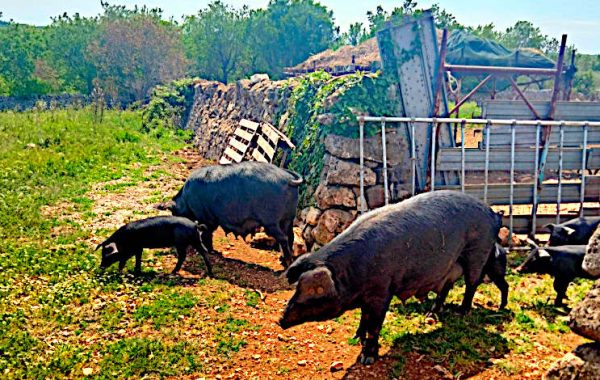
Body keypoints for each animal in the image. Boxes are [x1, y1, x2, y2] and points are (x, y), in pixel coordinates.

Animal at [161, 161, 302, 268]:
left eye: (174, 212)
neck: (186, 199)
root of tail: (289, 179)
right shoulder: (212, 219)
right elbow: (209, 233)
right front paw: (213, 250)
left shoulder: (205, 217)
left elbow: (206, 233)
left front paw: (209, 250)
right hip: (288, 218)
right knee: (290, 236)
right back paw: (283, 260)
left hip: (271, 221)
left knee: (283, 238)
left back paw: (286, 264)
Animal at [278, 191, 500, 364]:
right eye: (297, 288)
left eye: (314, 292)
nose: (280, 320)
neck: (352, 271)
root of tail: (492, 213)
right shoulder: (367, 297)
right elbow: (364, 317)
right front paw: (356, 336)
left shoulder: (382, 291)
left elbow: (375, 324)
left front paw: (366, 359)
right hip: (451, 264)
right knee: (445, 287)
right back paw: (431, 315)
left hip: (478, 251)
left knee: (472, 284)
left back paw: (462, 312)